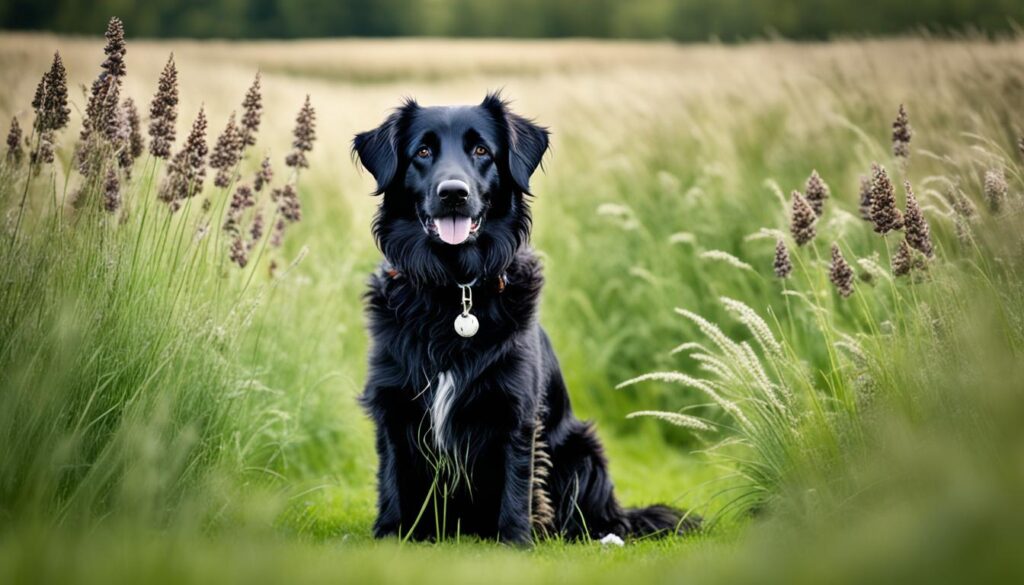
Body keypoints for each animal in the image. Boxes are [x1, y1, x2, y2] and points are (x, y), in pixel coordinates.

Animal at [352, 91, 696, 545]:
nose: (453, 193)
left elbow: (516, 483)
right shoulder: (392, 402)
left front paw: (514, 542)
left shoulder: (515, 409)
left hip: (583, 449)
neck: (456, 290)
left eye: (482, 151)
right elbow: (393, 479)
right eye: (422, 152)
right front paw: (392, 535)